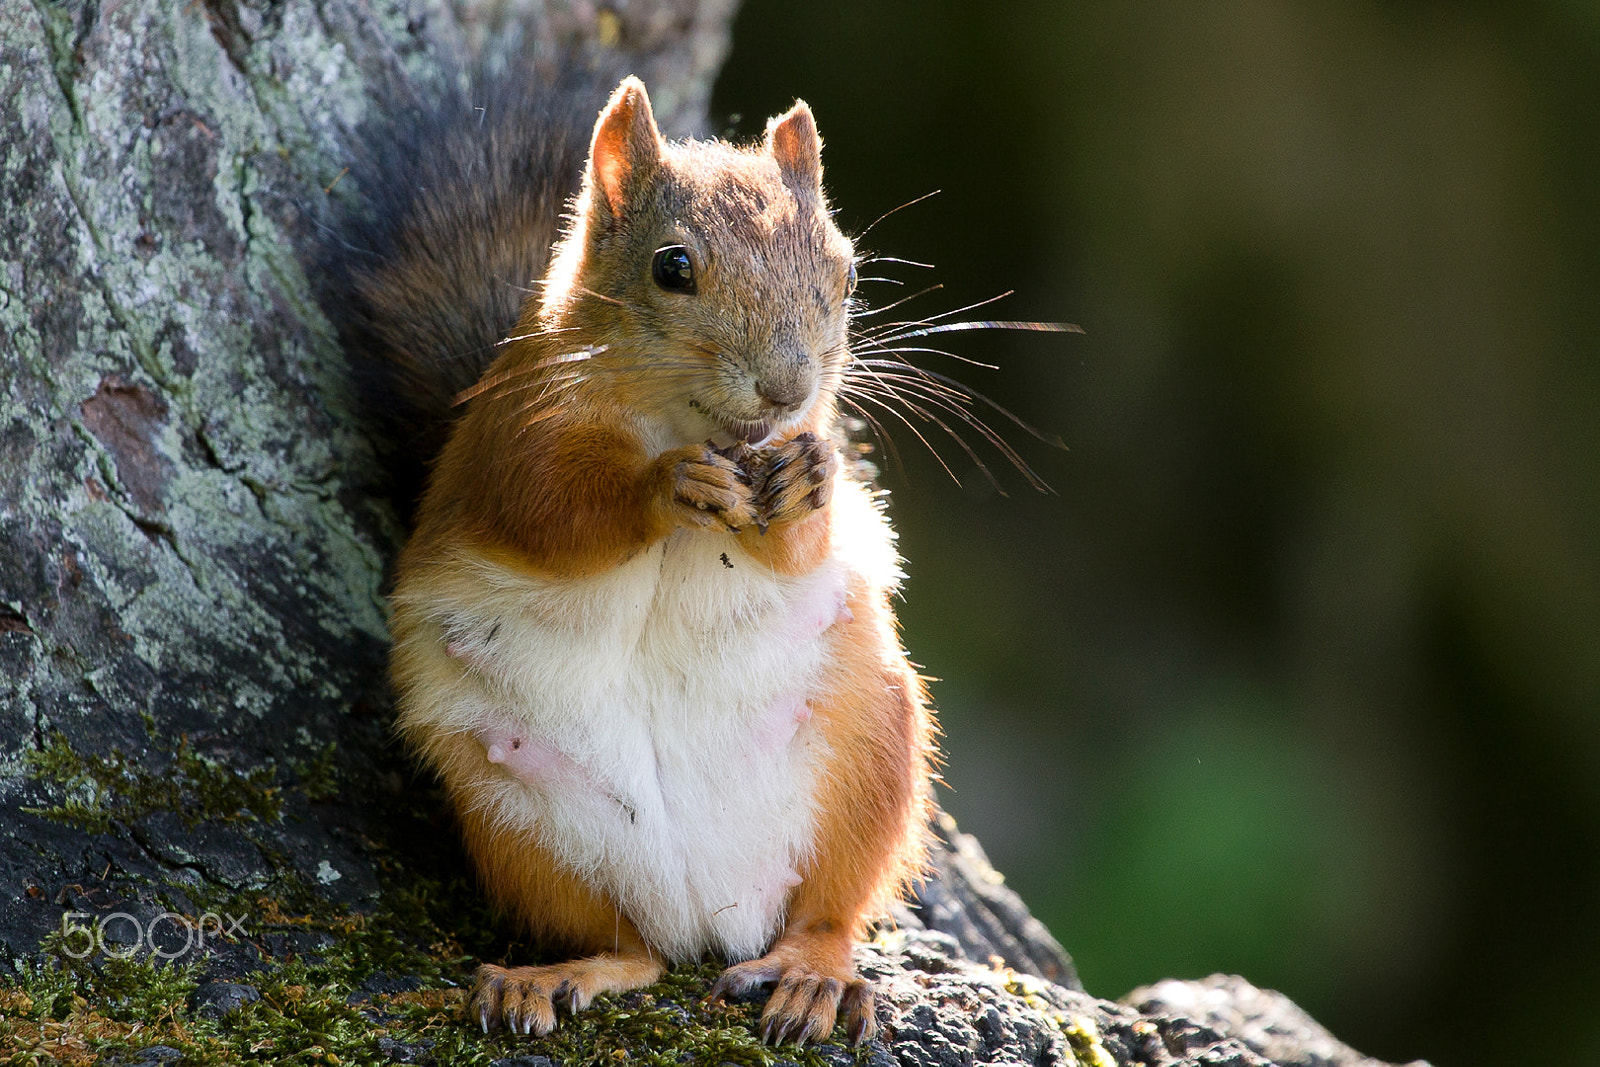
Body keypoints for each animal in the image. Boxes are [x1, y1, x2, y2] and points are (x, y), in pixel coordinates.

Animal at [330, 69, 935, 1047]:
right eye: (672, 268)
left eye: (846, 271)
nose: (787, 387)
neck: (689, 424)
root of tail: (713, 911)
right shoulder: (509, 443)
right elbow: (555, 515)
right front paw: (664, 486)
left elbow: (801, 546)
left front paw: (809, 480)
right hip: (514, 816)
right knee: (631, 947)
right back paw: (553, 977)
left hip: (874, 748)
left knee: (831, 911)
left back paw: (810, 975)